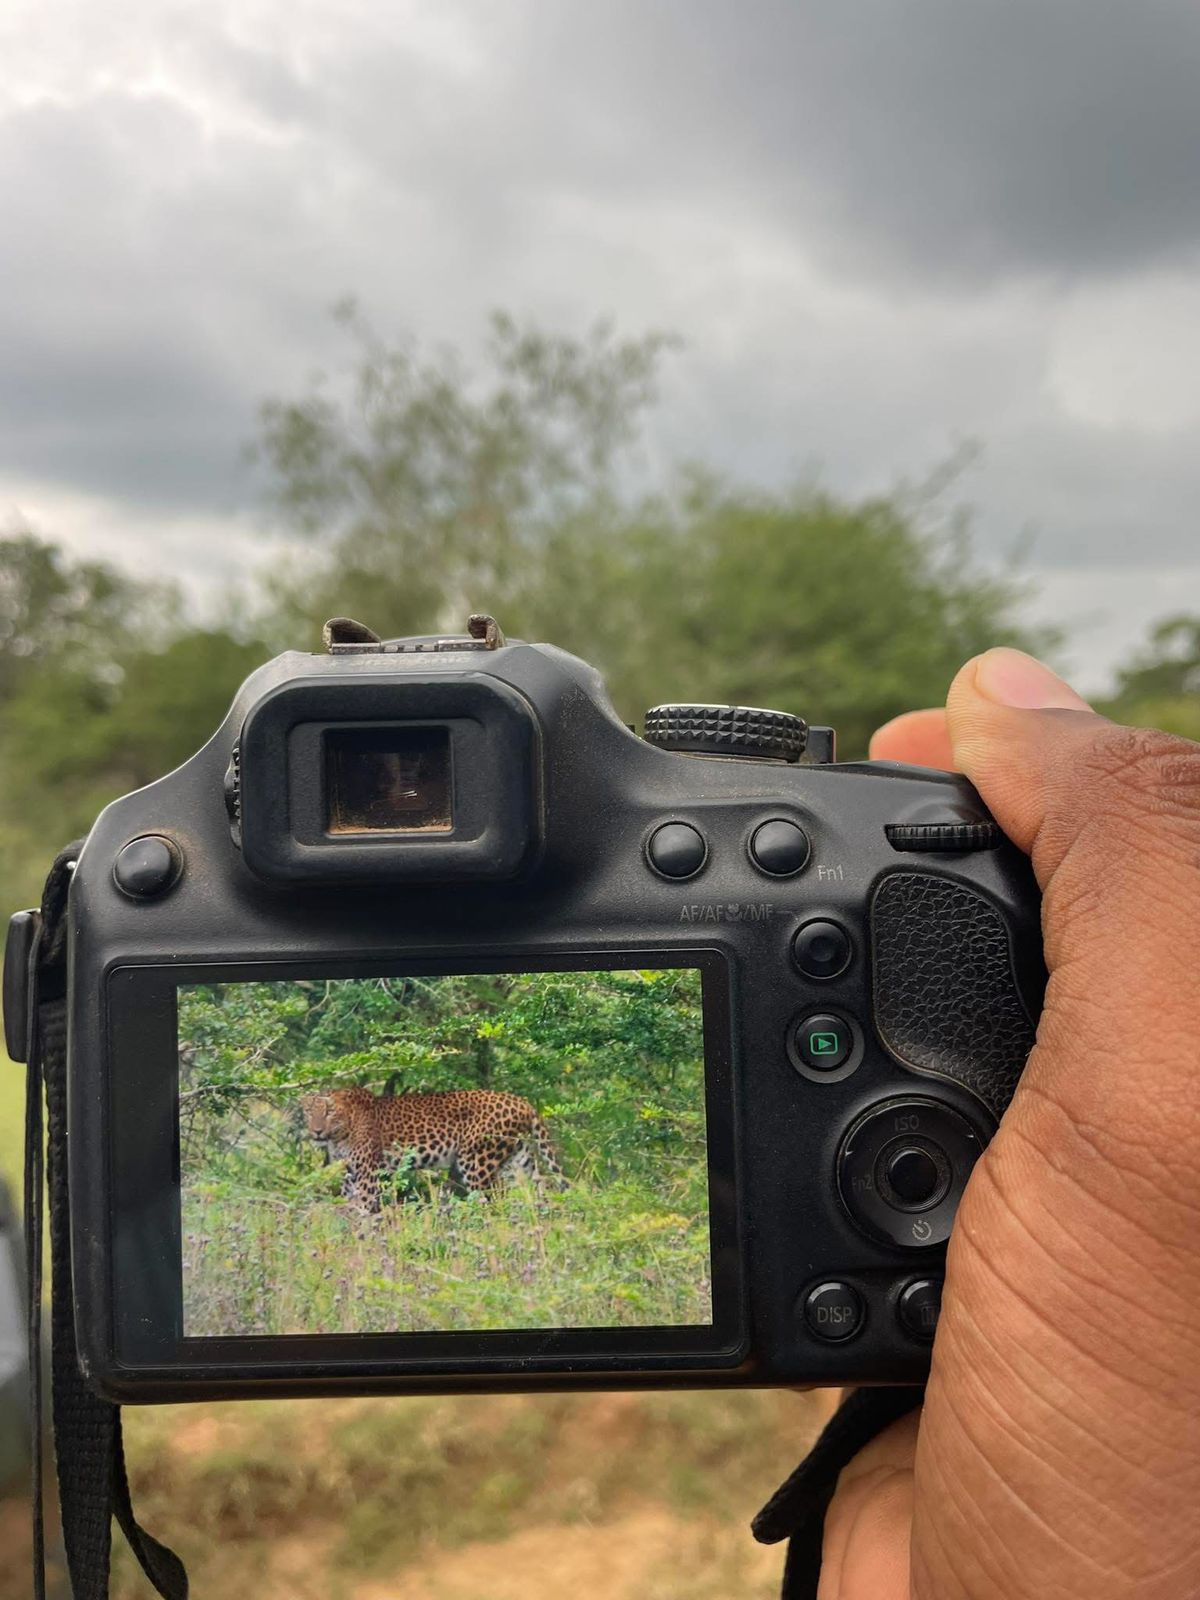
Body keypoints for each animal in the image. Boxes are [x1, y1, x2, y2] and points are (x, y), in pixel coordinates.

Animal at [300, 1086, 567, 1214]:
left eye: (329, 1112)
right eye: (308, 1112)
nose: (317, 1131)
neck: (340, 1134)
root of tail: (523, 1103)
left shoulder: (368, 1172)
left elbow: (363, 1203)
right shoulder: (349, 1171)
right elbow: (347, 1196)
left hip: (477, 1162)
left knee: (486, 1202)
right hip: (519, 1159)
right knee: (534, 1191)